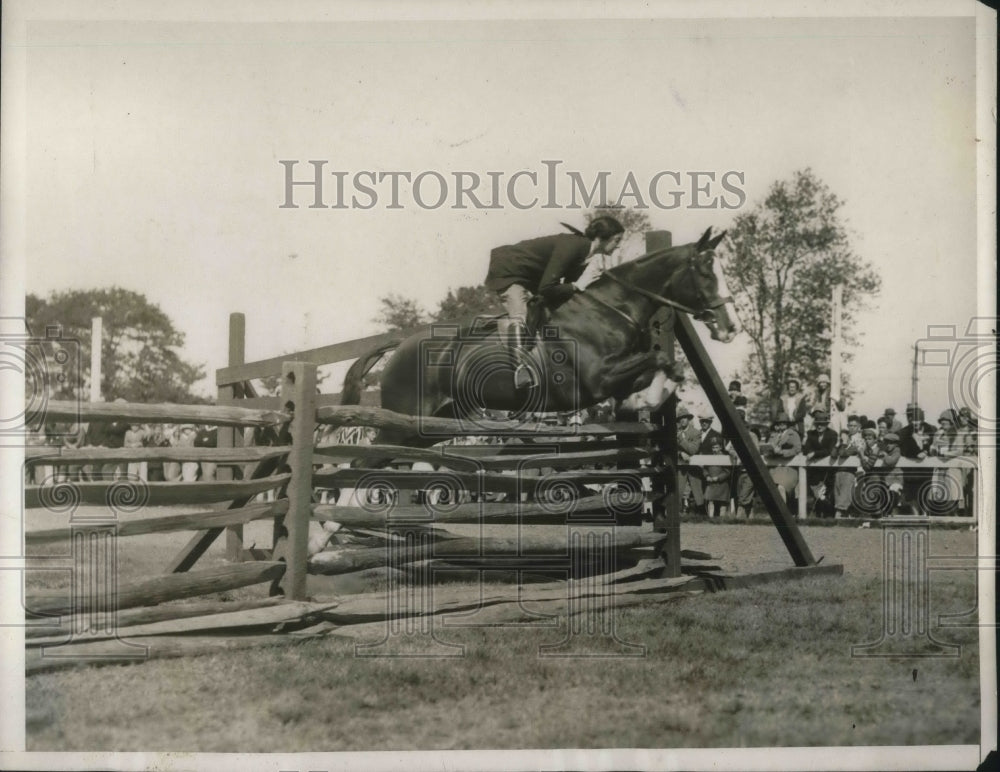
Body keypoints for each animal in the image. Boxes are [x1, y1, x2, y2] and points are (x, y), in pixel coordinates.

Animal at [344, 226, 736, 440]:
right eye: (705, 272)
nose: (730, 328)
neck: (611, 309)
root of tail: (400, 345)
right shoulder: (598, 378)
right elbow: (659, 357)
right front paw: (650, 398)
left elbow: (664, 366)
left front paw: (645, 398)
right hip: (402, 419)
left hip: (432, 424)